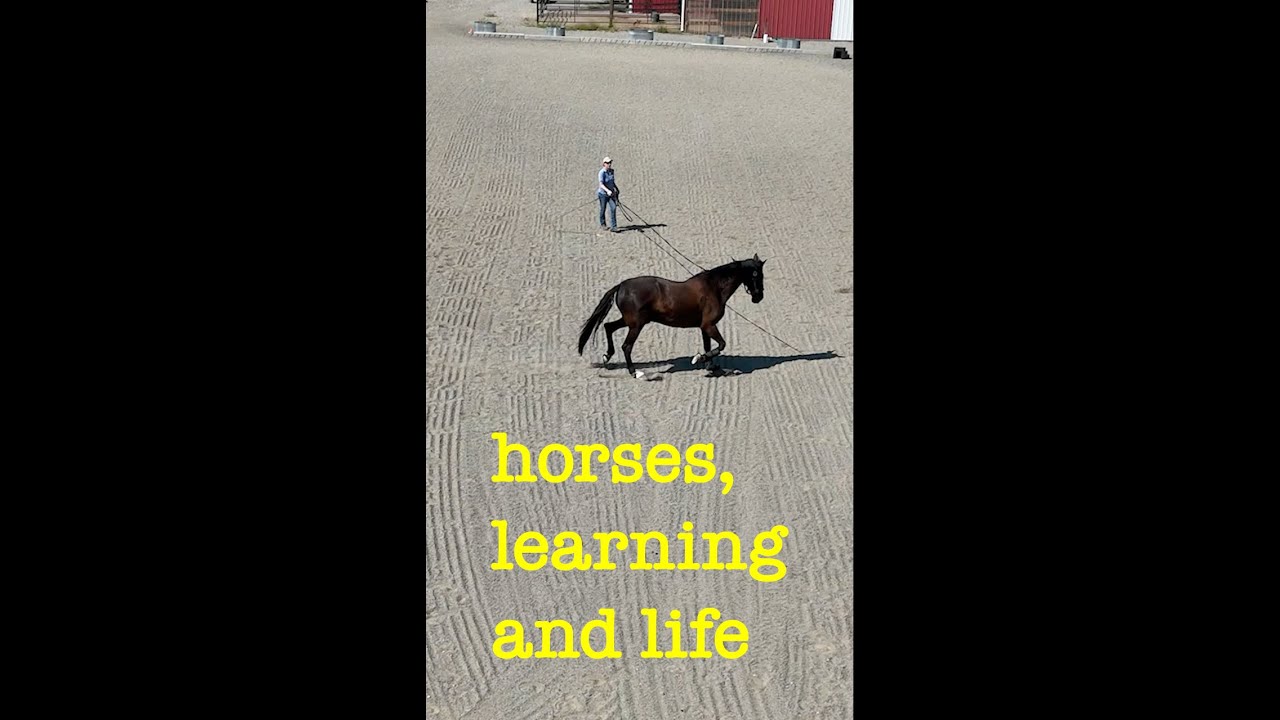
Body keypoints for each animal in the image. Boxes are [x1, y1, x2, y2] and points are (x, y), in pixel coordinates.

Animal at [577, 254, 767, 379]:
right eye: (757, 275)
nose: (758, 297)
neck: (714, 288)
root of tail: (622, 286)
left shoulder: (704, 327)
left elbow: (709, 347)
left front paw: (712, 368)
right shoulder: (709, 325)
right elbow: (721, 345)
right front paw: (699, 358)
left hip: (630, 321)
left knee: (608, 326)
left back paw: (607, 356)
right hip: (636, 325)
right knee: (626, 346)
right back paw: (635, 372)